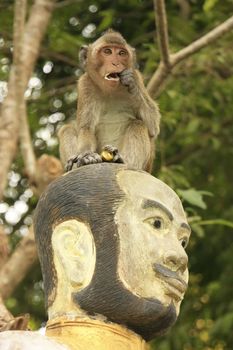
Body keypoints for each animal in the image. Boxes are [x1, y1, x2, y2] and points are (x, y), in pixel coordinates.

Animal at [58, 29, 160, 173]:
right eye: (107, 51)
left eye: (121, 53)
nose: (115, 63)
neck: (111, 91)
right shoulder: (85, 84)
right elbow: (86, 128)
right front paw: (87, 155)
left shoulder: (138, 76)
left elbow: (153, 127)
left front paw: (131, 83)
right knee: (67, 128)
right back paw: (73, 164)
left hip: (146, 166)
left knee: (138, 124)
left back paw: (121, 159)